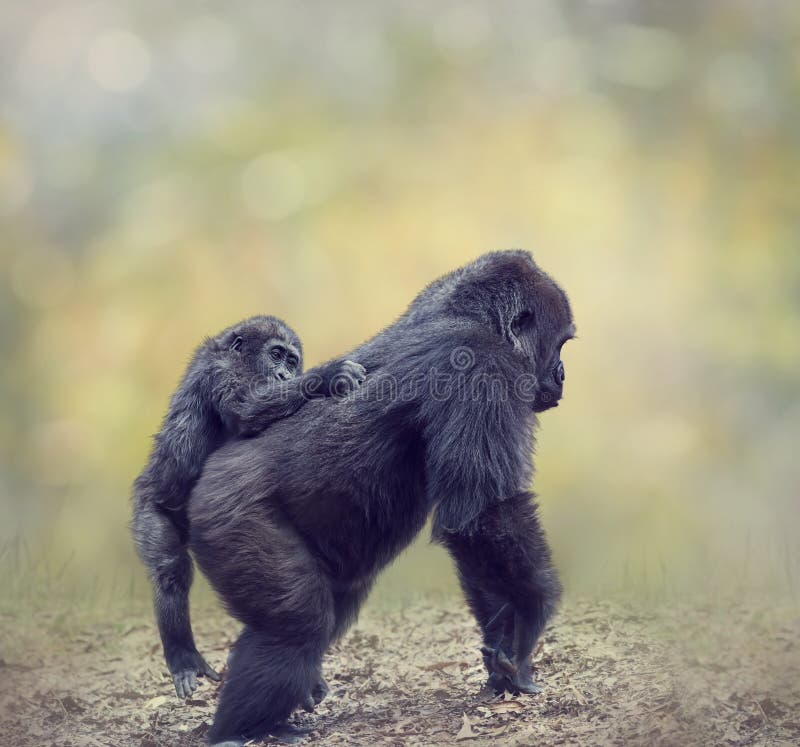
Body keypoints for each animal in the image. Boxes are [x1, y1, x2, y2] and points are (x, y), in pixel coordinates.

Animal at [131, 314, 366, 699]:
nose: (286, 375)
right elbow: (248, 407)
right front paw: (330, 374)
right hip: (148, 511)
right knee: (170, 571)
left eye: (292, 361)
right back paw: (183, 657)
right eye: (276, 355)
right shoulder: (225, 372)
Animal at [186, 251, 575, 745]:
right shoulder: (482, 364)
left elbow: (478, 534)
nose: (562, 375)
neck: (472, 315)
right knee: (295, 625)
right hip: (226, 516)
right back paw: (241, 729)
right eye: (559, 345)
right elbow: (482, 517)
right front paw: (528, 617)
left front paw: (502, 646)